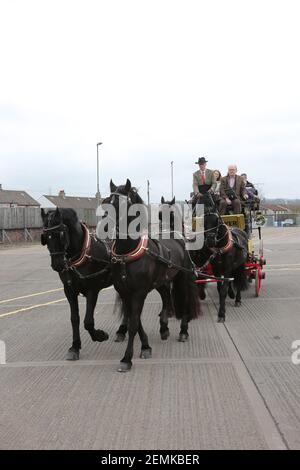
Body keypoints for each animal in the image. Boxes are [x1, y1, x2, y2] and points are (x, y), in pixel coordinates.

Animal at [41, 207, 112, 358]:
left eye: (61, 234)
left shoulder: (92, 290)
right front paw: (75, 346)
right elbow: (74, 318)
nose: (57, 264)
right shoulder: (69, 290)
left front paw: (100, 335)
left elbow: (88, 321)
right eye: (45, 236)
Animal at [108, 179, 202, 370]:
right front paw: (145, 346)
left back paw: (183, 330)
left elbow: (134, 323)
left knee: (185, 300)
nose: (104, 225)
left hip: (182, 277)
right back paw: (164, 327)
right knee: (166, 297)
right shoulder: (125, 292)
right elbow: (134, 319)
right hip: (161, 282)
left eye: (122, 203)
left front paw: (127, 359)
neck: (127, 253)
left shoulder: (139, 293)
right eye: (107, 201)